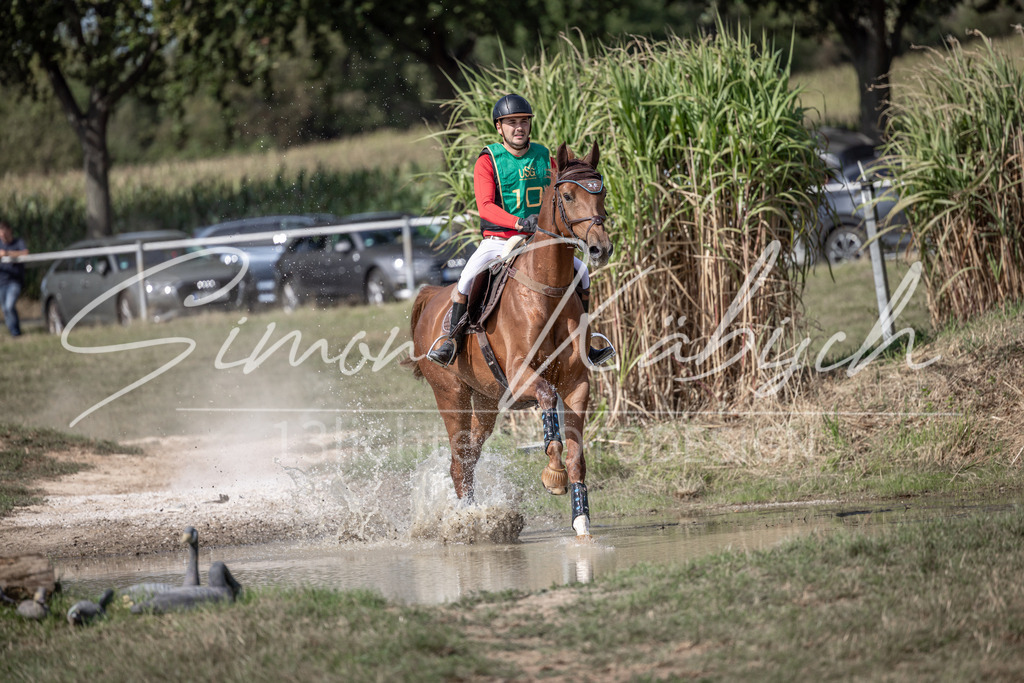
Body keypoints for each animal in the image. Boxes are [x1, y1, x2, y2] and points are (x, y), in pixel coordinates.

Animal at [406, 141, 613, 538]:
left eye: (602, 193)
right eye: (567, 195)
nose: (600, 248)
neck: (547, 290)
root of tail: (431, 295)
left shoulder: (577, 382)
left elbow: (577, 455)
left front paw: (581, 521)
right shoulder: (520, 374)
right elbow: (547, 399)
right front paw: (553, 474)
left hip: (487, 400)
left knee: (470, 456)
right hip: (451, 394)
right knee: (459, 460)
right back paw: (467, 520)